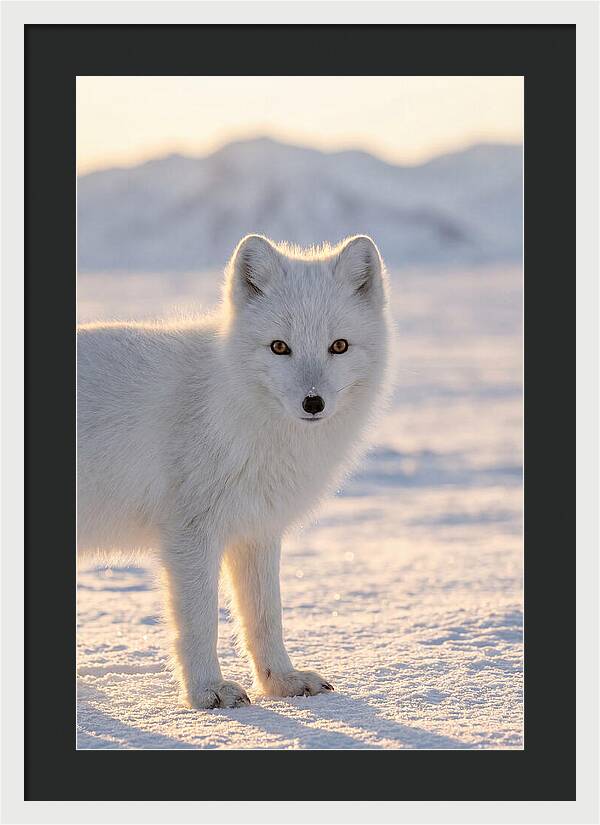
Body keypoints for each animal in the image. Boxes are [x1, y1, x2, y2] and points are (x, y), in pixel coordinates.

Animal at [77, 234, 392, 709]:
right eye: (279, 347)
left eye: (339, 346)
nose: (313, 403)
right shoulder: (190, 534)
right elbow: (200, 622)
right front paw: (207, 692)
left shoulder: (256, 529)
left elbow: (265, 616)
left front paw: (281, 682)